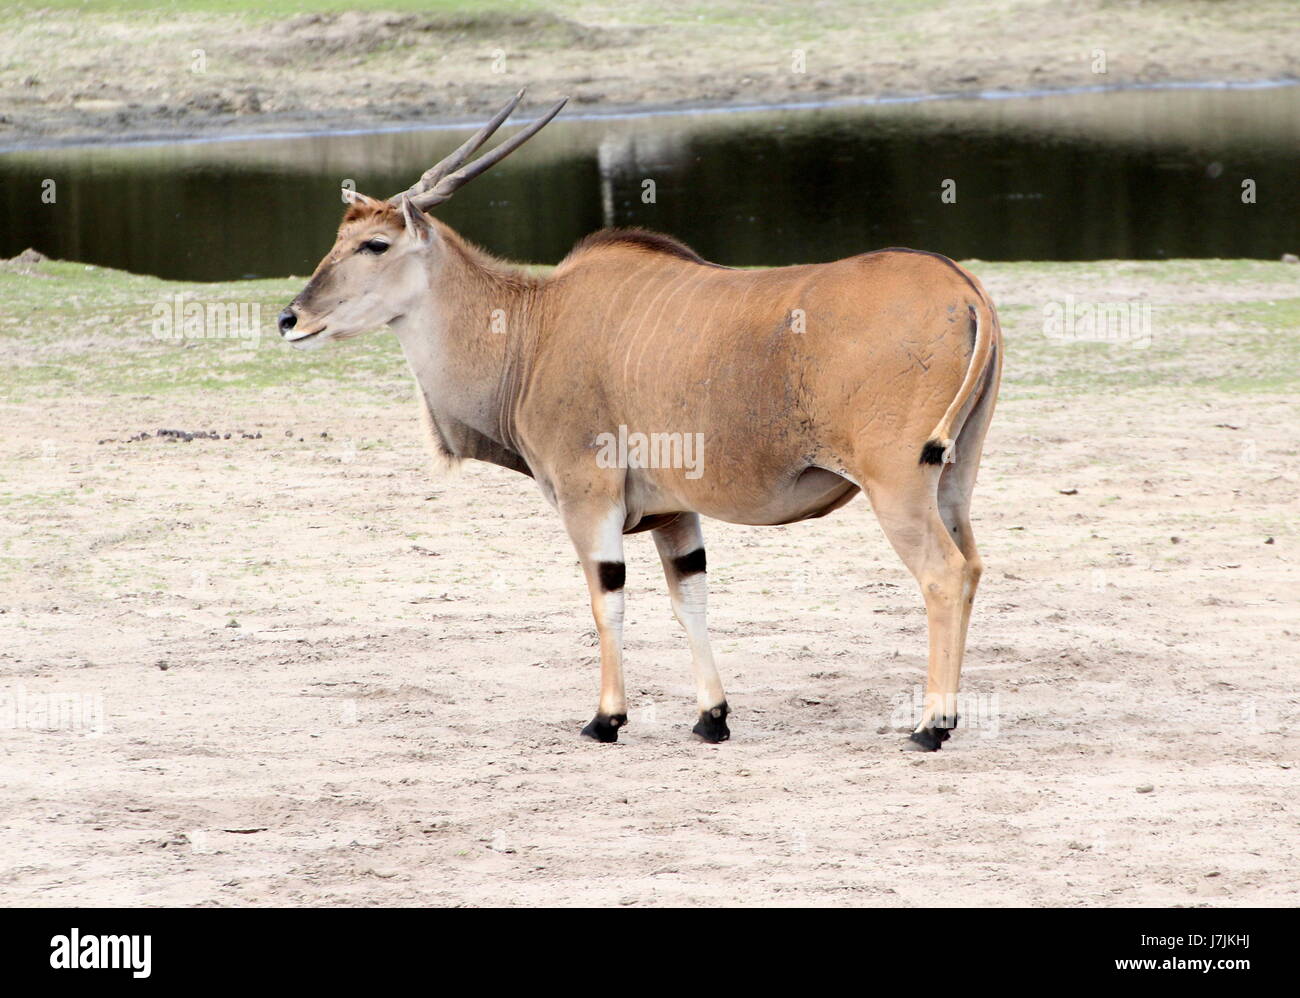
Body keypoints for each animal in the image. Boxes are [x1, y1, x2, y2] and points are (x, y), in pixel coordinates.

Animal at [279, 91, 998, 748]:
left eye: (374, 244)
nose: (290, 317)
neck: (531, 327)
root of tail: (963, 287)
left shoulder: (588, 499)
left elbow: (608, 601)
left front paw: (607, 718)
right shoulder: (674, 513)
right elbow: (690, 600)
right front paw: (712, 717)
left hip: (897, 486)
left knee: (943, 574)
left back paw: (931, 724)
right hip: (952, 480)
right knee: (971, 567)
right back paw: (949, 715)